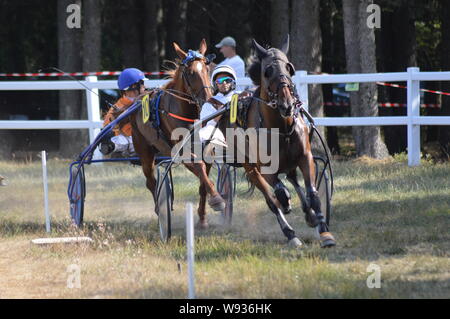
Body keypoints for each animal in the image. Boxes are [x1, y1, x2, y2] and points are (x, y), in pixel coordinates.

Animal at [132, 40, 227, 229]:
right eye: (190, 73)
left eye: (207, 68)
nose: (210, 99)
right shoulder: (182, 151)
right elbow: (200, 168)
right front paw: (217, 199)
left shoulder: (205, 150)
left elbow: (203, 181)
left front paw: (202, 217)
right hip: (145, 152)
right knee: (151, 181)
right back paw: (159, 210)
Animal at [216, 36, 336, 249]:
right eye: (267, 71)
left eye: (290, 68)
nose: (287, 104)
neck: (282, 128)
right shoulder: (265, 168)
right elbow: (279, 193)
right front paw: (286, 204)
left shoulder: (305, 157)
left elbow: (312, 194)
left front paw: (324, 231)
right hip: (250, 167)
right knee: (272, 198)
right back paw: (290, 232)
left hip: (289, 162)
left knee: (293, 179)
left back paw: (309, 215)